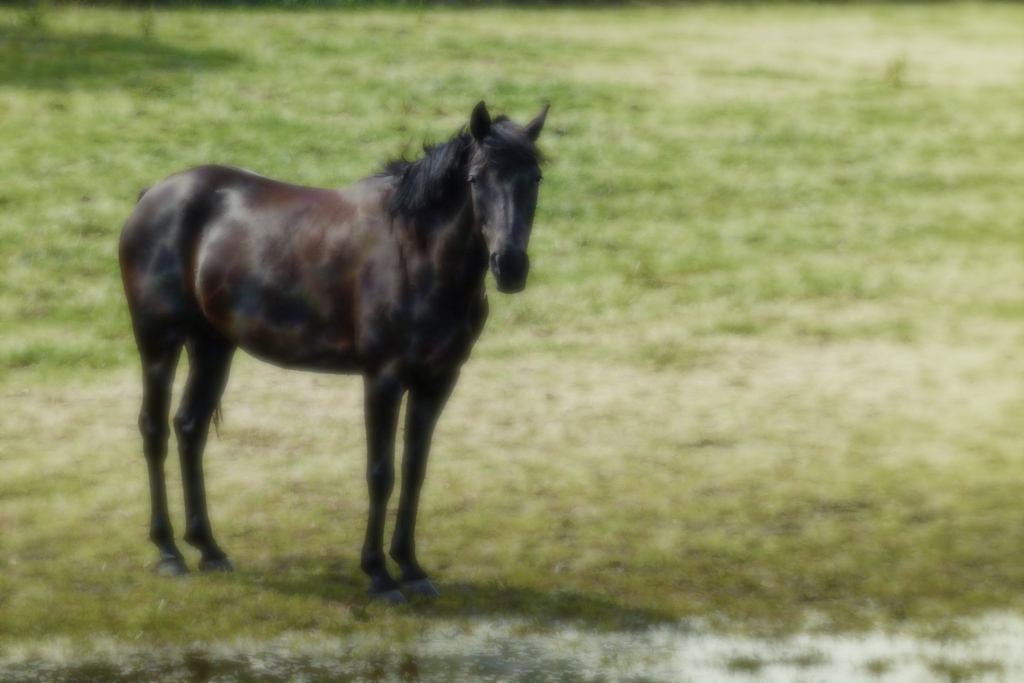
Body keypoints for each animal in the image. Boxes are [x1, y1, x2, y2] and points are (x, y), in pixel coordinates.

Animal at [118, 101, 548, 602]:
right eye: (476, 179)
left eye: (535, 177)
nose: (510, 267)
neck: (416, 253)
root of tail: (152, 196)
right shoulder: (383, 378)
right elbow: (380, 473)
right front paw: (379, 576)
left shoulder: (438, 379)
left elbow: (414, 469)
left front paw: (411, 569)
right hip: (158, 339)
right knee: (154, 431)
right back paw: (168, 552)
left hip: (212, 344)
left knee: (190, 429)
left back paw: (208, 548)